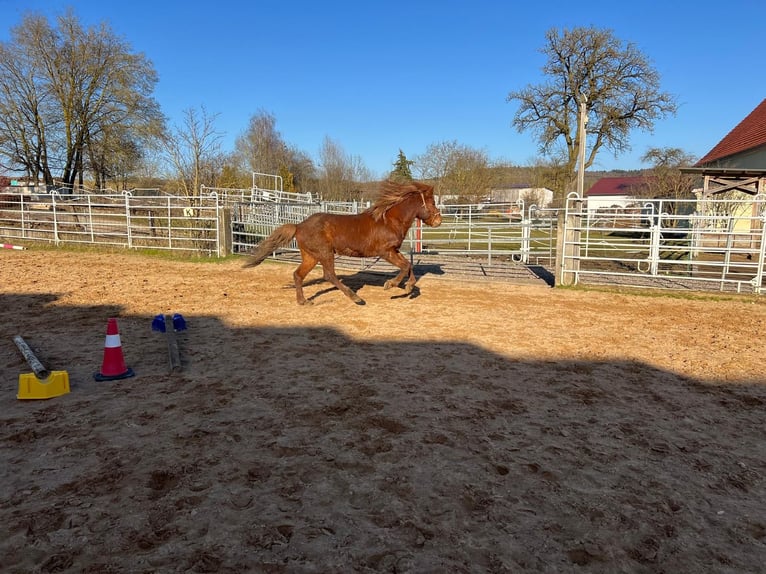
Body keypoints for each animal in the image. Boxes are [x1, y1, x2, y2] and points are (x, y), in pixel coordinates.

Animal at [243, 180, 442, 305]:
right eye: (432, 203)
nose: (438, 221)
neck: (389, 221)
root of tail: (299, 225)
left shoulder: (394, 251)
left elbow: (408, 266)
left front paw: (408, 287)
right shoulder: (386, 252)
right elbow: (405, 266)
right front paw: (391, 285)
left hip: (311, 256)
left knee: (298, 275)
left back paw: (304, 302)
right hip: (325, 253)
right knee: (329, 275)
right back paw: (356, 298)